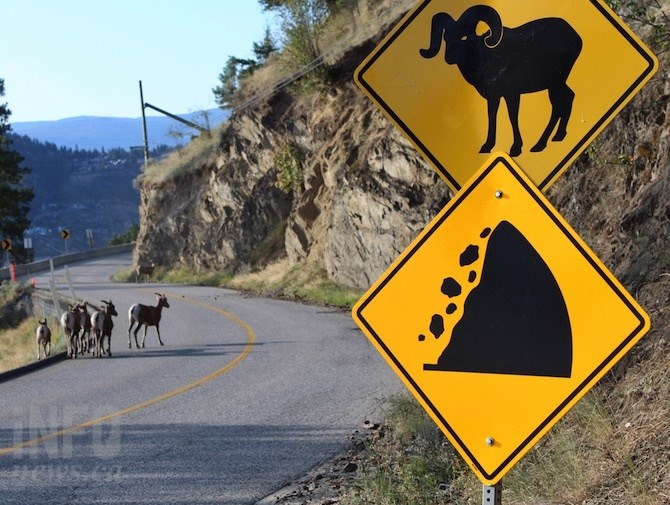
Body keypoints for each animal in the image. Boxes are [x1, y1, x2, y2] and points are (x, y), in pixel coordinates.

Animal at [420, 5, 584, 156]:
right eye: (446, 38)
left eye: (464, 37)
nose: (449, 58)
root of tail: (575, 36)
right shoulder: (494, 97)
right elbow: (492, 116)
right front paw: (487, 147)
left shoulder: (512, 94)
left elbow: (512, 116)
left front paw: (516, 148)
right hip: (556, 83)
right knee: (568, 97)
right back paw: (557, 137)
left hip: (555, 82)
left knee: (558, 106)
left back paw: (540, 144)